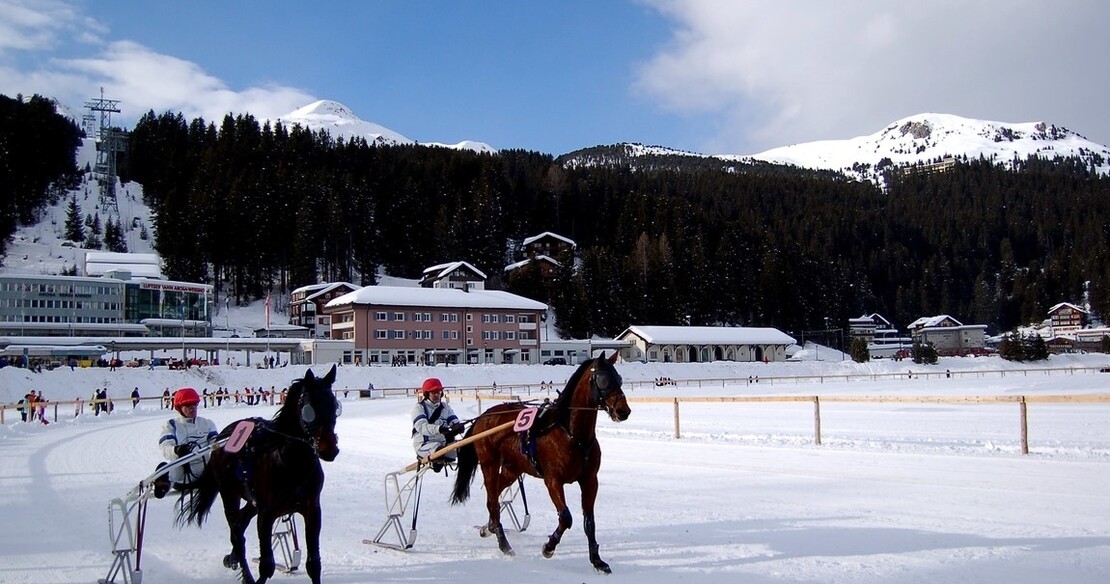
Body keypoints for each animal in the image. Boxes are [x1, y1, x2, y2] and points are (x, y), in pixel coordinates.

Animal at [175, 366, 339, 584]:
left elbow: (314, 564)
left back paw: (232, 557)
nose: (330, 449)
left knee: (242, 522)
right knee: (237, 533)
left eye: (335, 406)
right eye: (309, 409)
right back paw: (243, 568)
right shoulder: (266, 513)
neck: (293, 465)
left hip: (252, 501)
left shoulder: (312, 510)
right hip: (229, 494)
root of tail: (221, 438)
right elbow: (266, 565)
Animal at [446, 353, 630, 572]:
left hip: (512, 468)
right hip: (489, 463)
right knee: (492, 498)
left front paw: (597, 560)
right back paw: (503, 542)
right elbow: (566, 517)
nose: (623, 411)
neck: (571, 433)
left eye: (619, 379)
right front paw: (549, 547)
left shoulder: (590, 480)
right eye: (603, 380)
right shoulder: (553, 480)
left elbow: (589, 522)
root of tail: (483, 417)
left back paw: (488, 527)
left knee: (496, 494)